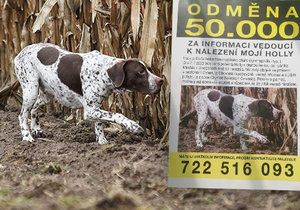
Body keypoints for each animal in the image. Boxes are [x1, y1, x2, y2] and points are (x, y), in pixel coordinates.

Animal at [14, 42, 164, 144]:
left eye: (149, 69)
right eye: (141, 72)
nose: (161, 81)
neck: (103, 71)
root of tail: (19, 53)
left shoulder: (96, 107)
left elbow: (99, 124)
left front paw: (102, 142)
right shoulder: (90, 110)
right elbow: (117, 115)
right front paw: (133, 126)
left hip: (46, 95)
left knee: (34, 109)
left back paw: (36, 129)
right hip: (31, 90)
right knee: (22, 115)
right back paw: (27, 137)